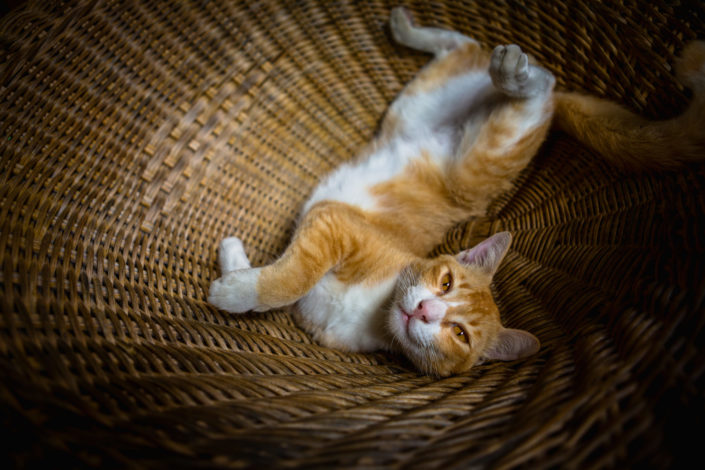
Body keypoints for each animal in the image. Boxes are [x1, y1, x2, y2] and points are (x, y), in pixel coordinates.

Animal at [208, 5, 704, 376]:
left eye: (459, 334)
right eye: (445, 282)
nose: (427, 311)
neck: (373, 310)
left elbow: (285, 281)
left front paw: (234, 274)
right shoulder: (334, 224)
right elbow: (292, 276)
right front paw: (238, 286)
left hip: (449, 118)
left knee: (481, 55)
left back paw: (434, 39)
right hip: (465, 130)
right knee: (519, 72)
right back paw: (502, 66)